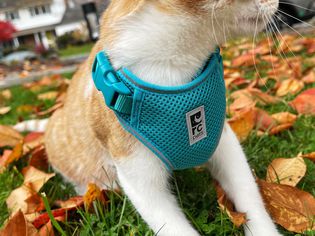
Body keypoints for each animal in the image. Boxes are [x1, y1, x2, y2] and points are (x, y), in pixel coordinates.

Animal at [15, 0, 282, 235]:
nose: (278, 3)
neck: (174, 64)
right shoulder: (139, 176)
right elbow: (174, 228)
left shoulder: (223, 142)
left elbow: (248, 193)